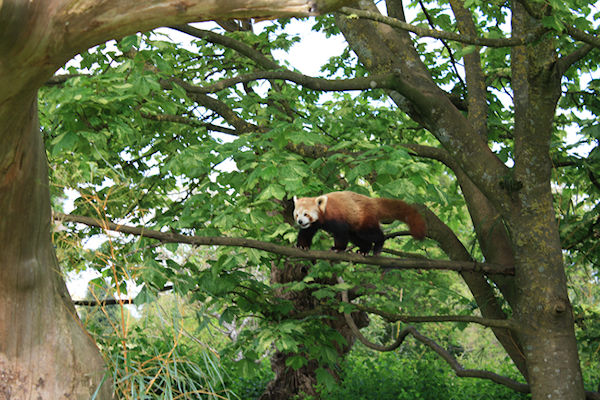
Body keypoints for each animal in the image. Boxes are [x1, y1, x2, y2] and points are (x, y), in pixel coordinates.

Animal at [292, 191, 424, 256]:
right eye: (297, 215)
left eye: (306, 214)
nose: (300, 221)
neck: (324, 213)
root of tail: (372, 202)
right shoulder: (313, 224)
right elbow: (306, 232)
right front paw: (302, 245)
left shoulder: (336, 217)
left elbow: (341, 232)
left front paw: (338, 248)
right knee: (355, 237)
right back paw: (364, 250)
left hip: (364, 219)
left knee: (371, 234)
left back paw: (378, 244)